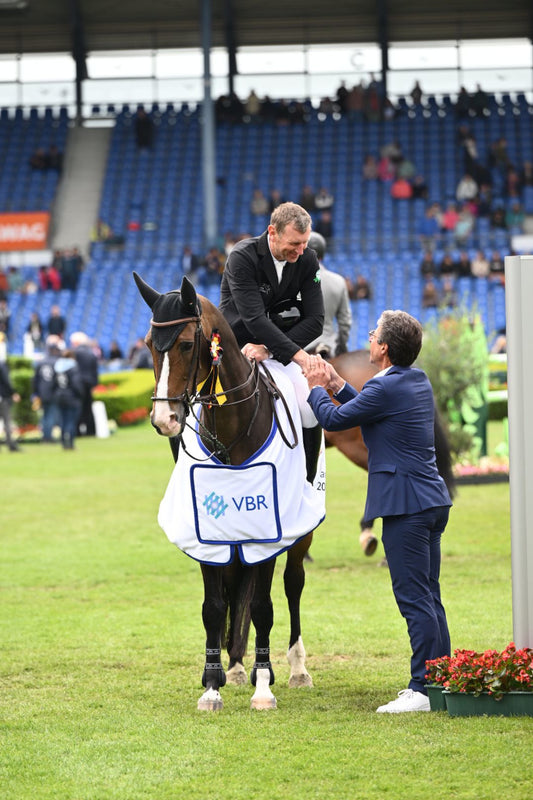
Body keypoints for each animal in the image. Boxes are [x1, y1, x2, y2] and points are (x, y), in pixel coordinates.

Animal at [135, 272, 322, 708]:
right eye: (150, 344)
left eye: (187, 344)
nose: (164, 418)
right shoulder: (209, 532)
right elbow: (215, 605)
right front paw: (212, 684)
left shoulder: (269, 531)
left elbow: (263, 605)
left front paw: (264, 687)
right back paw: (237, 666)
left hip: (300, 531)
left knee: (292, 585)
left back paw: (295, 668)